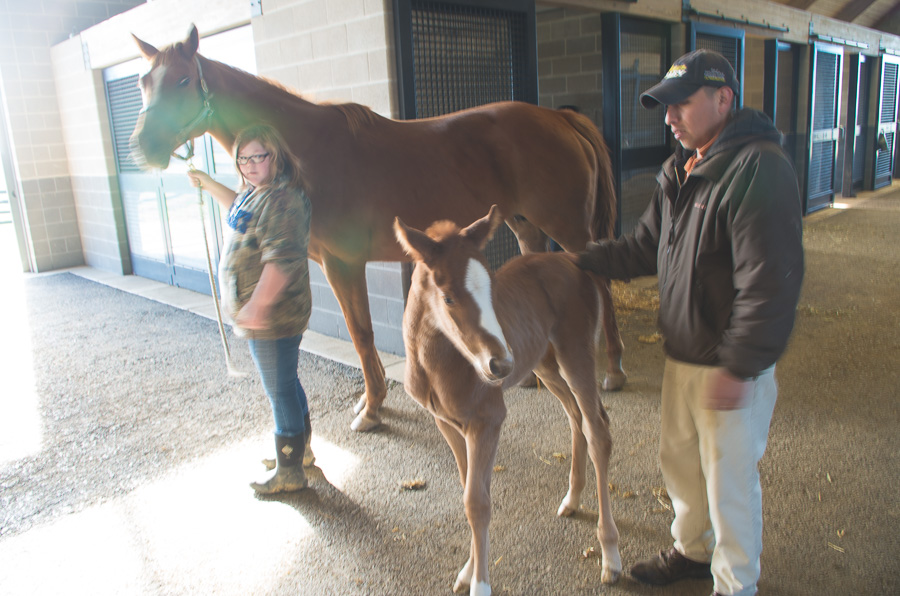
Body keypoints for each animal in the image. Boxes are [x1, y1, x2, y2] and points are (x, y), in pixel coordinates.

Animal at [398, 206, 624, 596]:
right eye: (448, 297)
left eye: (491, 290)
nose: (501, 364)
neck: (437, 368)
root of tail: (572, 259)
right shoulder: (447, 422)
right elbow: (468, 487)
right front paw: (467, 571)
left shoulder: (488, 419)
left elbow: (477, 502)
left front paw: (480, 584)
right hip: (544, 364)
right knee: (575, 416)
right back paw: (572, 499)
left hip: (576, 354)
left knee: (598, 431)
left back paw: (610, 555)